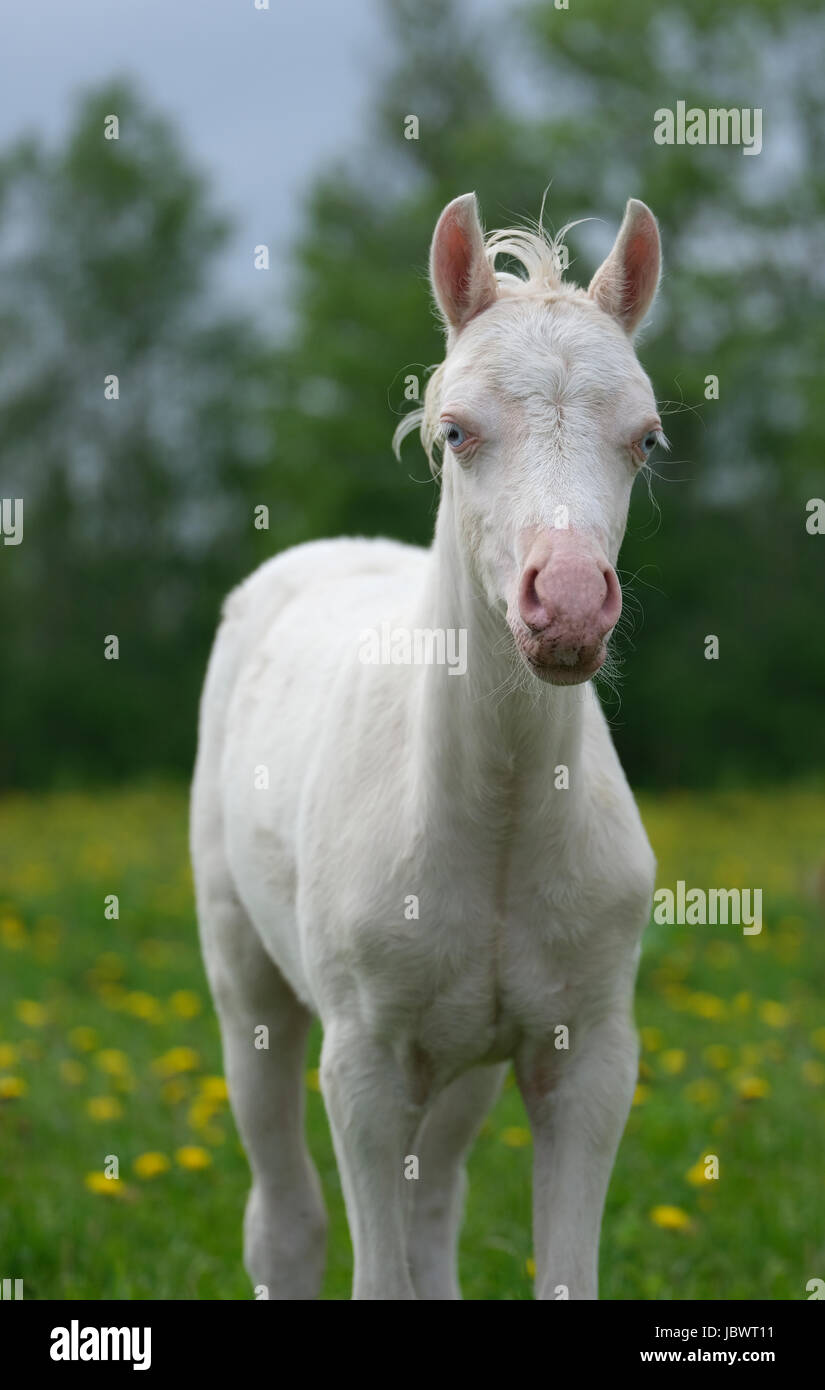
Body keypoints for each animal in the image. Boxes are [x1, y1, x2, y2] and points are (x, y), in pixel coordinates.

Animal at [190, 190, 665, 1300]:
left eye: (645, 439)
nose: (566, 605)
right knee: (286, 1218)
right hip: (249, 983)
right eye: (456, 431)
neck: (497, 814)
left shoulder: (588, 1059)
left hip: (461, 1065)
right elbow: (372, 1265)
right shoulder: (361, 1066)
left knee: (432, 1201)